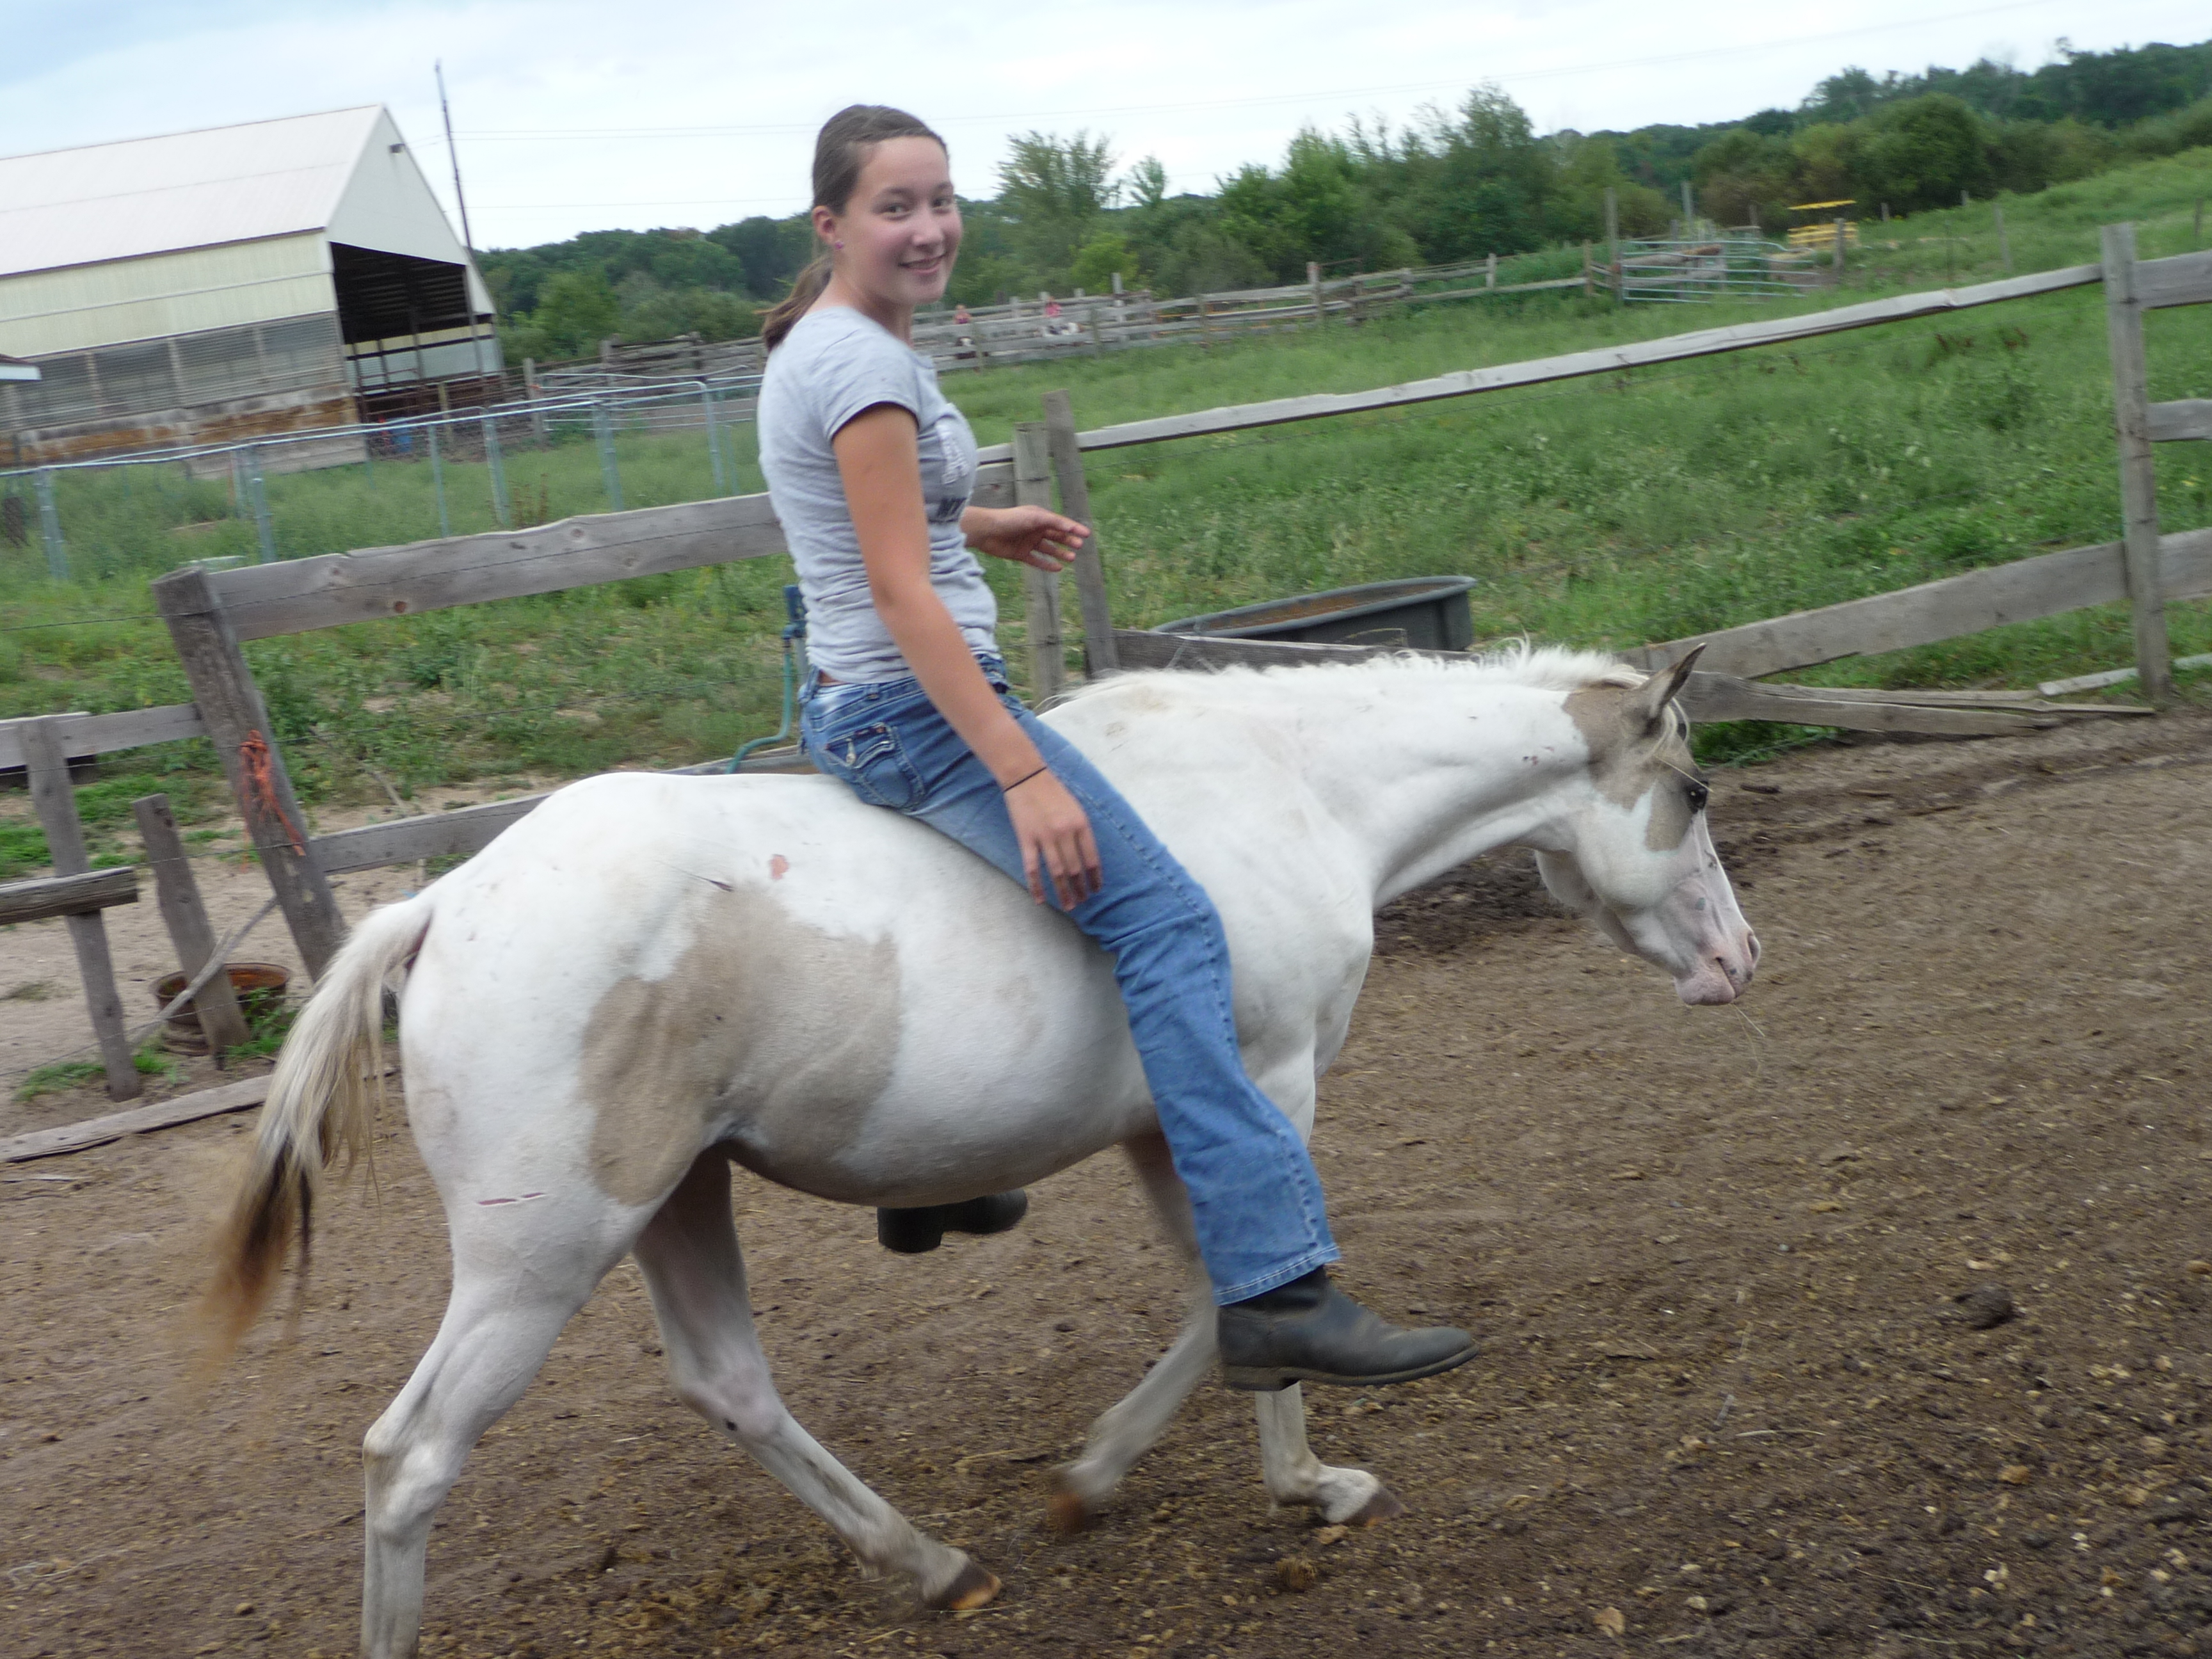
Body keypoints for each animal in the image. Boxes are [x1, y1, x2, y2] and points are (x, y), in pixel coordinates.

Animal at [204, 643, 1756, 1657]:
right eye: (1694, 795)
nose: (1740, 962)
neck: (1293, 790)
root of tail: (446, 903)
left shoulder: (1164, 1124)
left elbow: (1219, 1301)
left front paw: (1195, 1480)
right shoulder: (1263, 1083)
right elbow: (1258, 1287)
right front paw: (1259, 1478)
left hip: (674, 1204)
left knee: (731, 1388)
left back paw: (931, 1564)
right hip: (541, 1250)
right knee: (411, 1459)